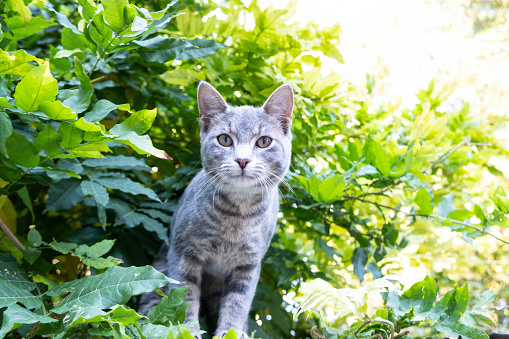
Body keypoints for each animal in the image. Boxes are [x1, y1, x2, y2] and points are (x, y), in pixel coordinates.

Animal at [138, 81, 294, 338]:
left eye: (263, 141)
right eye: (224, 140)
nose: (242, 160)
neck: (237, 216)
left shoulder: (248, 267)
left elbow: (238, 303)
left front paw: (230, 331)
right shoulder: (184, 255)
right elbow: (185, 297)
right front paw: (188, 330)